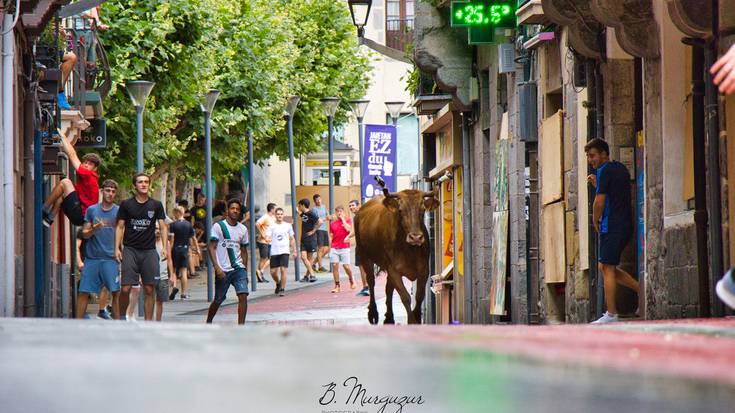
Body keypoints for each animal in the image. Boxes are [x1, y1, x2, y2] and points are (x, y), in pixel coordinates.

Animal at [356, 188, 440, 324]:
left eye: (422, 210)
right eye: (401, 210)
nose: (416, 237)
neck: (409, 250)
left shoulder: (424, 270)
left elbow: (419, 295)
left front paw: (417, 318)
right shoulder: (394, 270)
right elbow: (405, 297)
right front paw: (412, 321)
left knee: (388, 288)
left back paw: (389, 318)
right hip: (365, 256)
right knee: (371, 282)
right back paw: (373, 313)